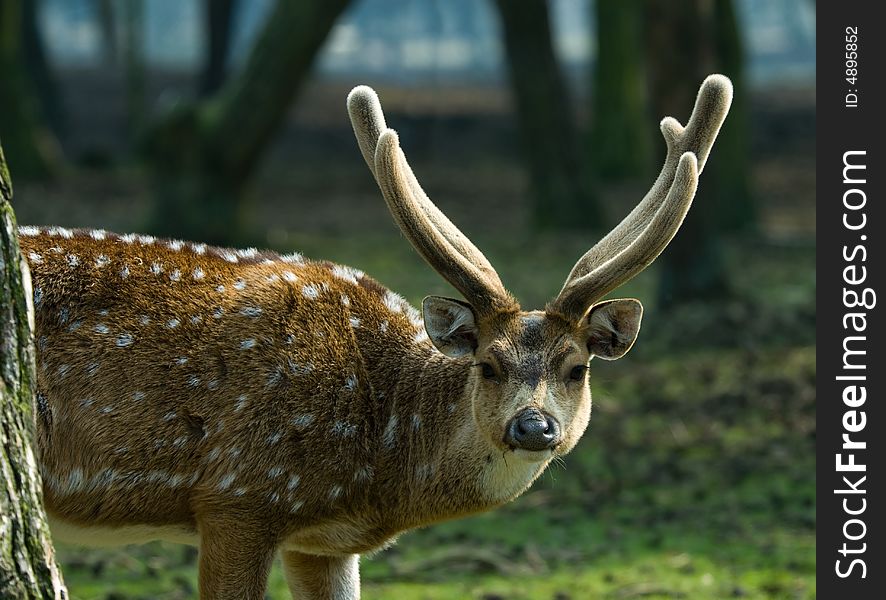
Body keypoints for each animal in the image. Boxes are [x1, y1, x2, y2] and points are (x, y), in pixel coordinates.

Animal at [15, 75, 736, 600]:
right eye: (488, 364)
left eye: (576, 367)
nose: (534, 427)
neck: (375, 469)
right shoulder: (238, 495)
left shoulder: (321, 542)